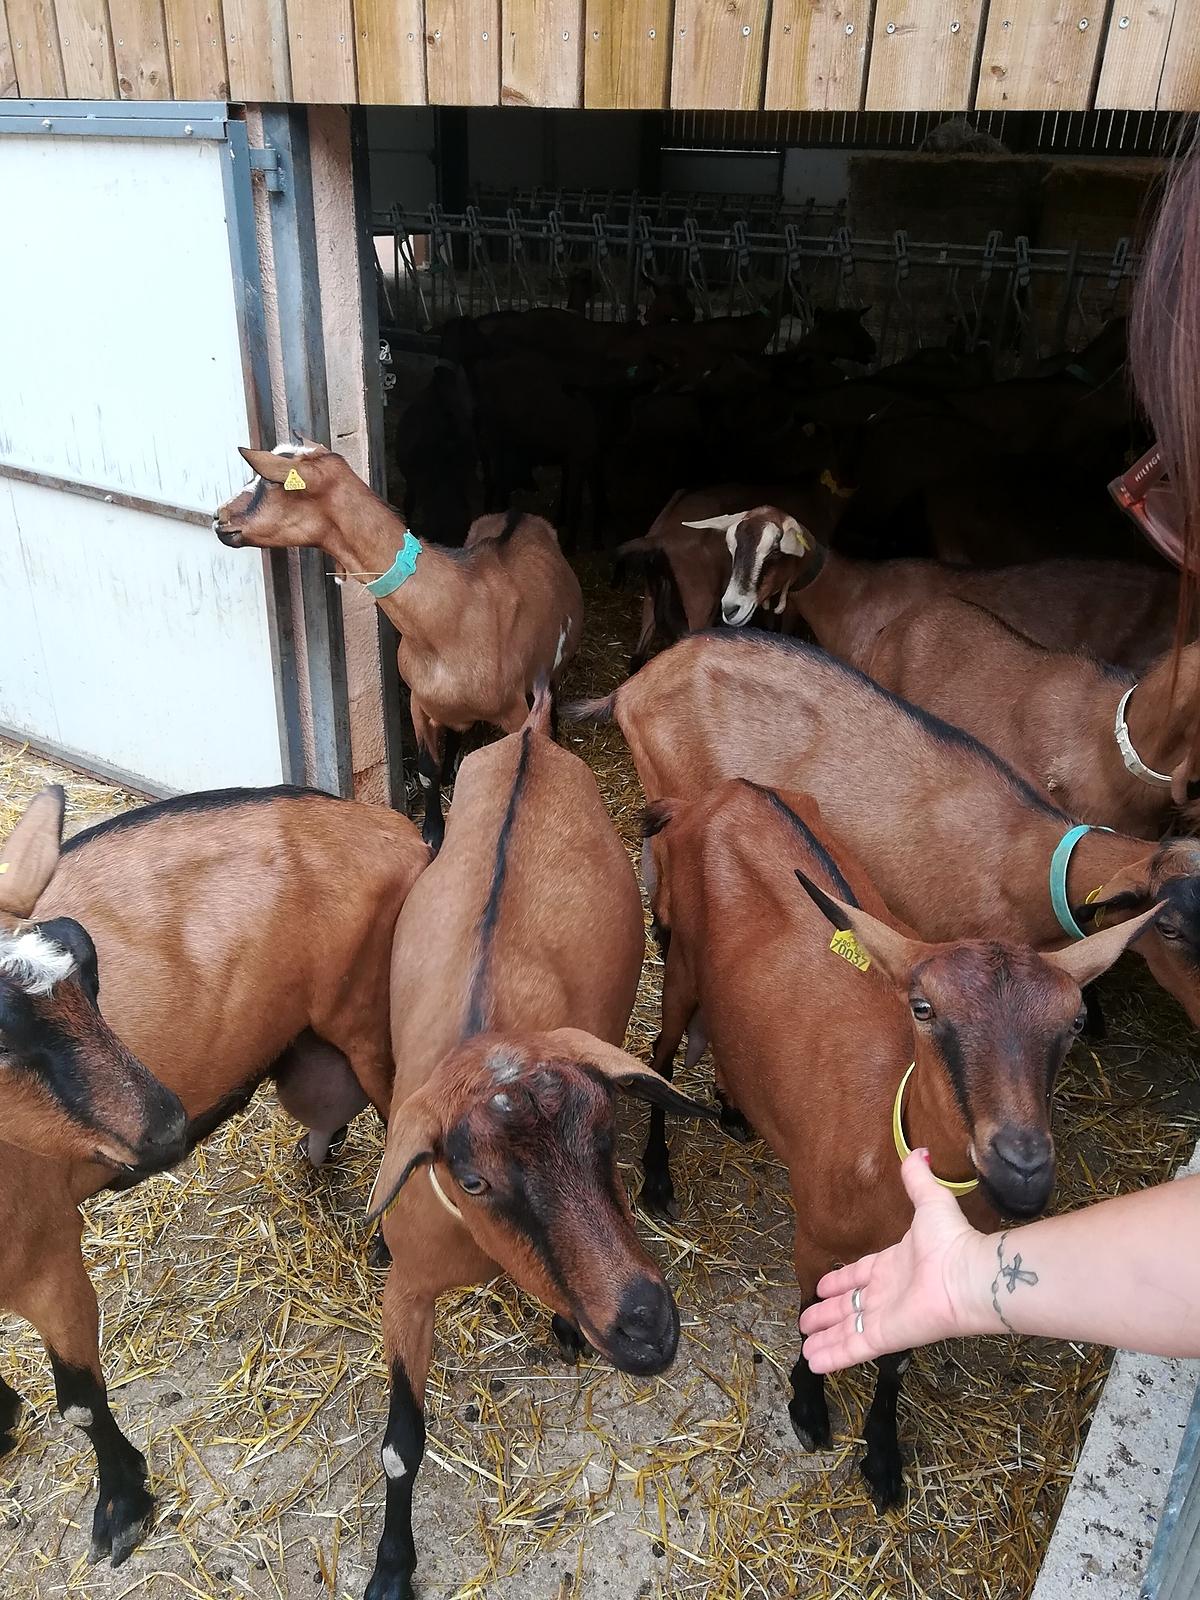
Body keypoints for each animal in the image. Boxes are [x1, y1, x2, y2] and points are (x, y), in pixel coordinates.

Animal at [0, 780, 432, 1568]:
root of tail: (397, 830)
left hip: (372, 1022)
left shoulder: (45, 1252)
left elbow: (78, 1402)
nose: (166, 1126)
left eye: (86, 964)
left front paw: (123, 1504)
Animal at [217, 441, 592, 851]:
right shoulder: (418, 700)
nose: (219, 518)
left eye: (271, 481)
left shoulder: (513, 710)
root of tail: (520, 514)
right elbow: (428, 771)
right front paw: (432, 832)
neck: (449, 617)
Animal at [640, 780, 1158, 1504]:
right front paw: (808, 1409)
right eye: (923, 1008)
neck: (888, 1163)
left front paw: (882, 1456)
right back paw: (656, 1177)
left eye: (1076, 1021)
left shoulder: (920, 1270)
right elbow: (811, 1315)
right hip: (681, 966)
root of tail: (716, 795)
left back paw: (736, 1109)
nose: (1023, 1171)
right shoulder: (816, 1240)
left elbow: (895, 1361)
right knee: (657, 1058)